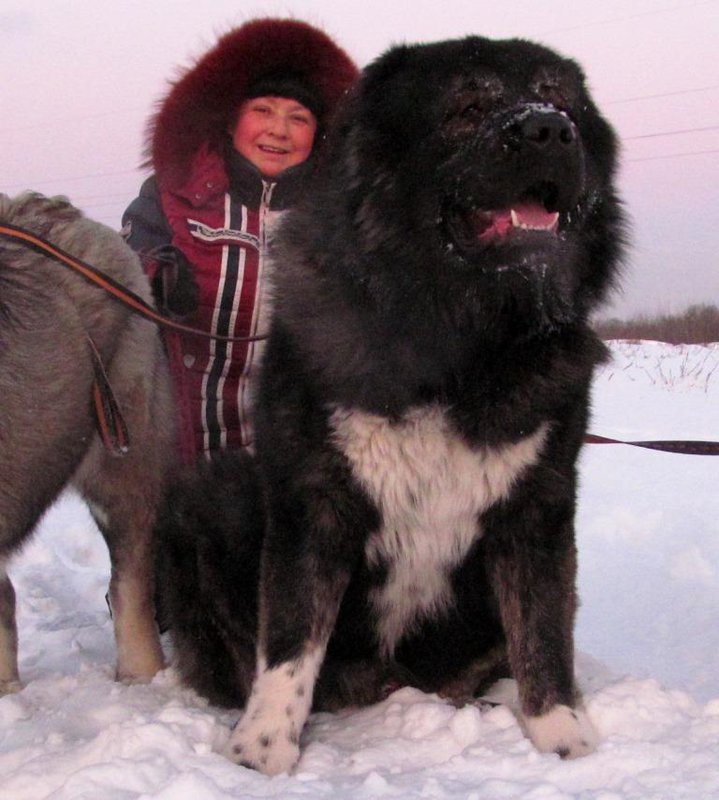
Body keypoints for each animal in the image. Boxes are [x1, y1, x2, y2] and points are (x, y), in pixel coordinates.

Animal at [158, 36, 624, 776]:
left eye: (561, 100)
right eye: (467, 108)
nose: (549, 130)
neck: (458, 342)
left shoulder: (538, 505)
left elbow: (544, 627)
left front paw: (562, 735)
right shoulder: (314, 498)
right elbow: (290, 635)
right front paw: (263, 750)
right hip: (209, 497)